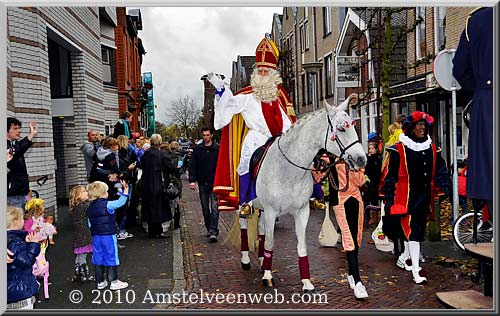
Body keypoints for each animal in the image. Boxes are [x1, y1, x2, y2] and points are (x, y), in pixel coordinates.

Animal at [238, 94, 368, 294]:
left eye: (353, 125)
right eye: (341, 128)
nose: (362, 159)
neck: (287, 169)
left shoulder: (301, 211)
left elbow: (301, 246)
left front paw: (306, 282)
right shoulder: (271, 211)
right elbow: (270, 242)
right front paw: (268, 277)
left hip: (262, 209)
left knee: (260, 230)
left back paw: (261, 261)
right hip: (243, 205)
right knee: (244, 225)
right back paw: (246, 260)